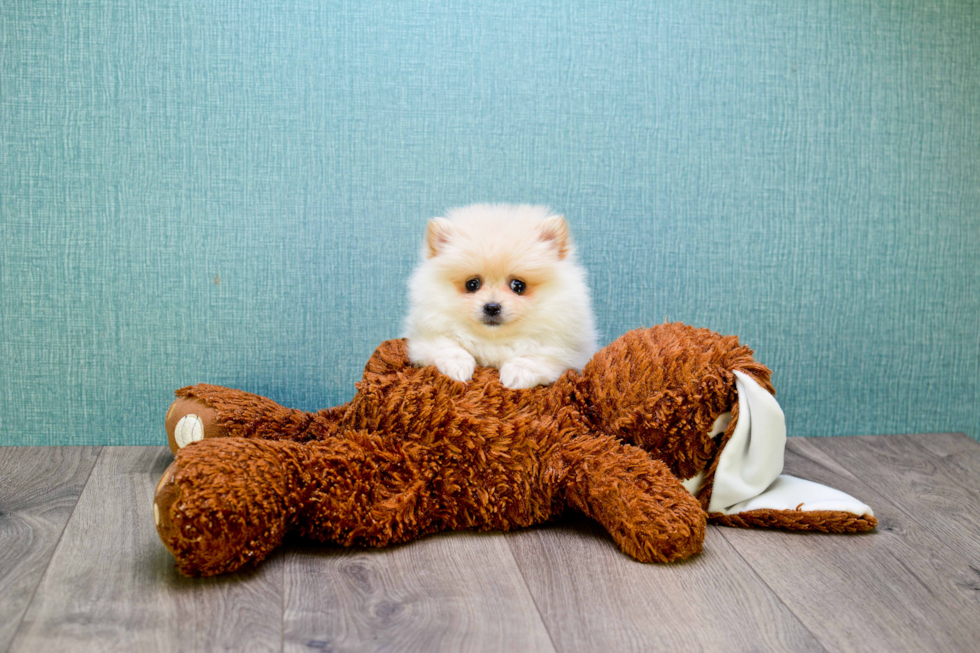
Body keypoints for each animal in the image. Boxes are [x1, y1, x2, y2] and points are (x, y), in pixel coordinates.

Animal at [404, 204, 596, 388]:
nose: (492, 307)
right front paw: (457, 365)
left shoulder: (567, 351)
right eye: (472, 284)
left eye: (518, 285)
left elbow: (540, 356)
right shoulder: (423, 339)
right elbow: (446, 345)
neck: (495, 340)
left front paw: (518, 372)